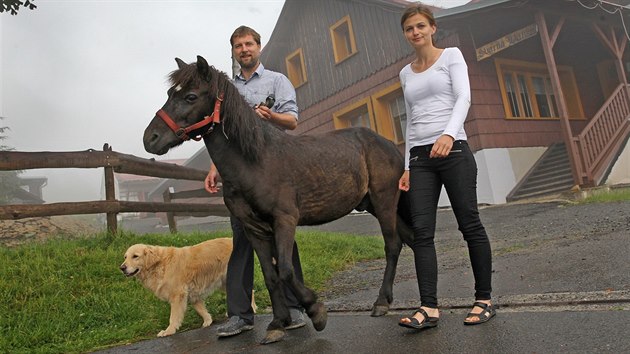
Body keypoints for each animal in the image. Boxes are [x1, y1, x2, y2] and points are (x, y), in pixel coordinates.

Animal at [146, 55, 418, 342]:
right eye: (169, 93)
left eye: (190, 96)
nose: (150, 138)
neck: (256, 160)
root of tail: (389, 146)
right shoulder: (254, 229)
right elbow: (270, 274)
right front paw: (278, 322)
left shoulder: (284, 220)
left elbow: (286, 270)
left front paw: (315, 311)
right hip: (375, 204)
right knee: (410, 239)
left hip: (384, 201)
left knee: (393, 245)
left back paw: (381, 302)